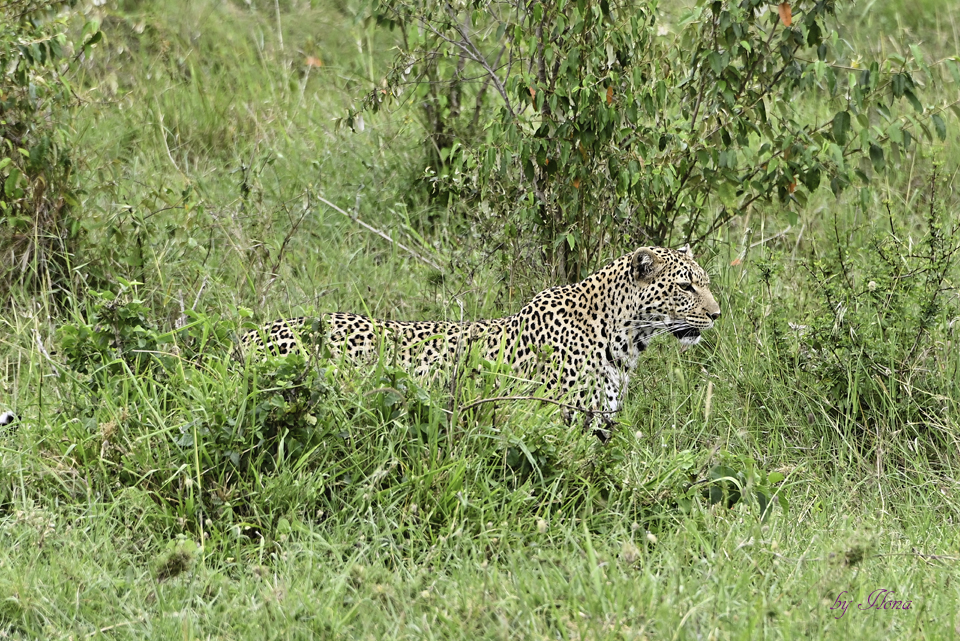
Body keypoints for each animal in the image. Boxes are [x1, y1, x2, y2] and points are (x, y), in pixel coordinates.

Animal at [240, 245, 720, 436]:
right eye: (685, 287)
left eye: (706, 283)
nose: (716, 315)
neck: (624, 340)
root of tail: (246, 335)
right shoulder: (556, 422)